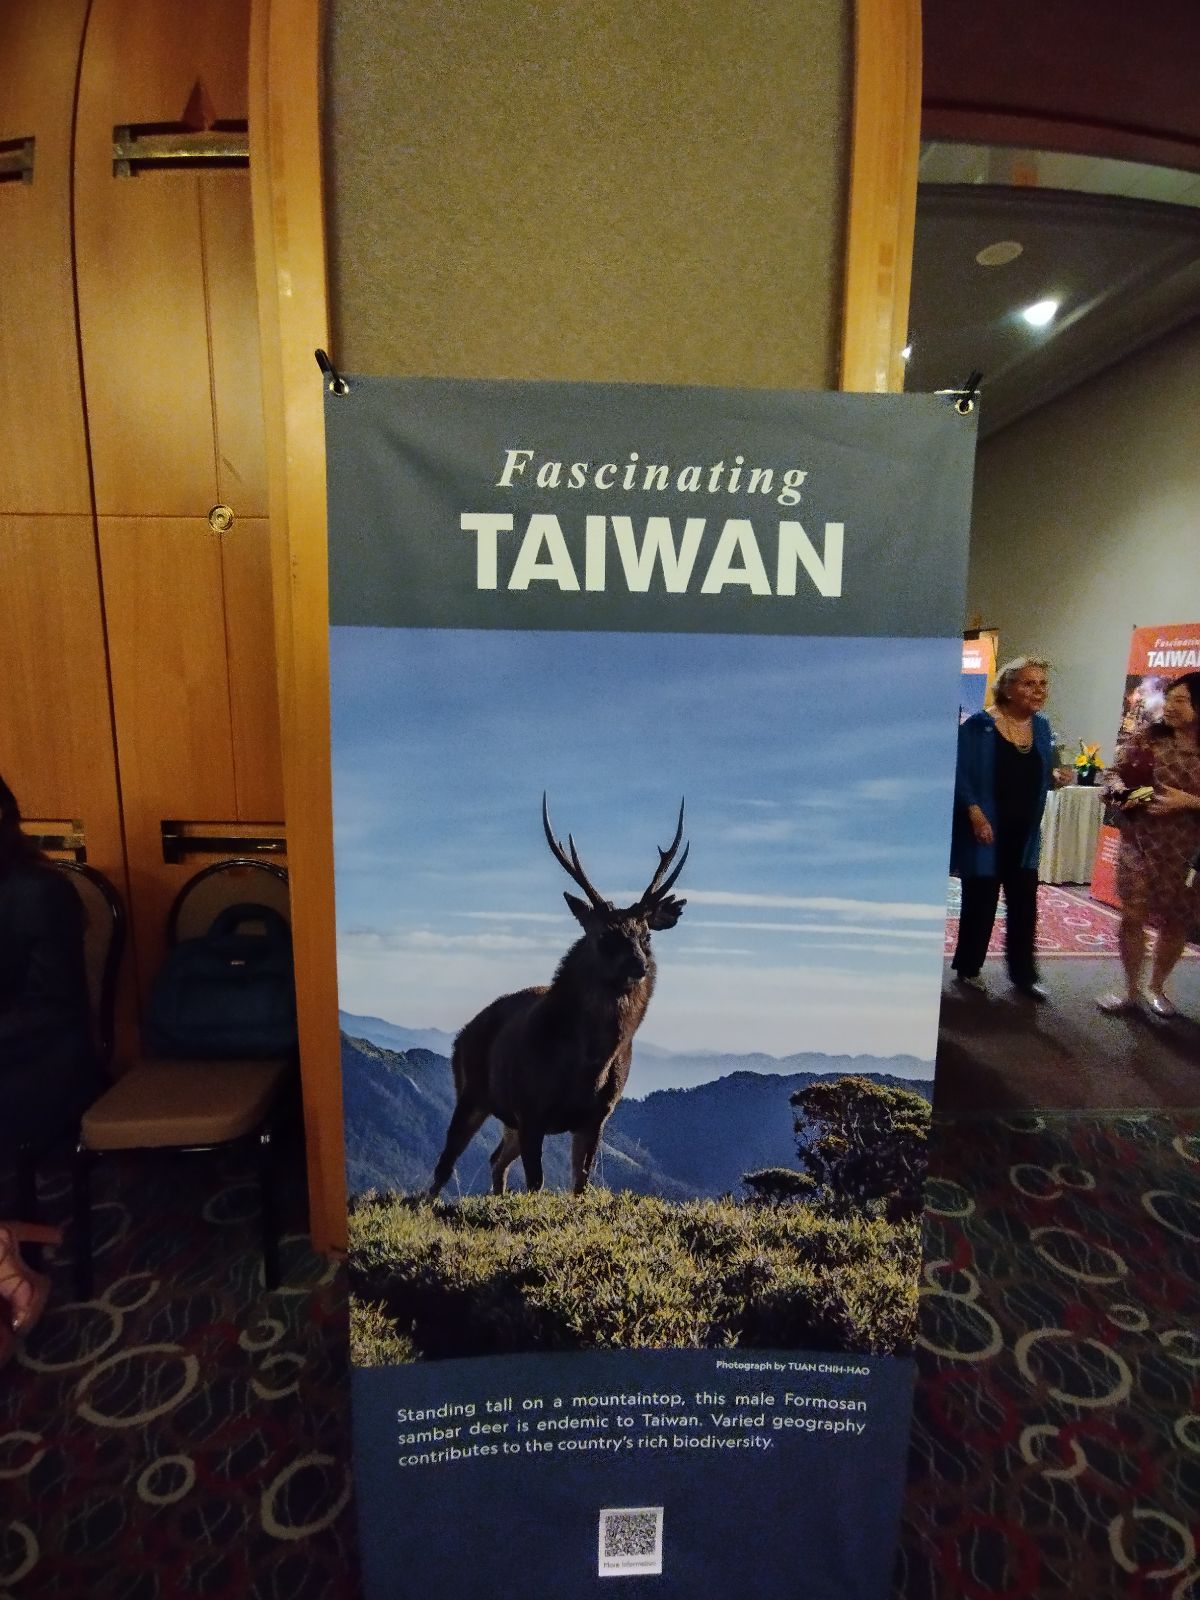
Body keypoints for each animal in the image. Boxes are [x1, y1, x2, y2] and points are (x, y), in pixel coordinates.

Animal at [430, 794, 688, 1199]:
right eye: (604, 935)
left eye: (646, 934)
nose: (639, 964)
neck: (587, 1068)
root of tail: (464, 1032)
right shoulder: (530, 1108)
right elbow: (536, 1183)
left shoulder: (596, 1116)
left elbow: (579, 1184)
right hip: (471, 1089)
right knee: (446, 1162)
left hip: (508, 1119)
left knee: (495, 1158)